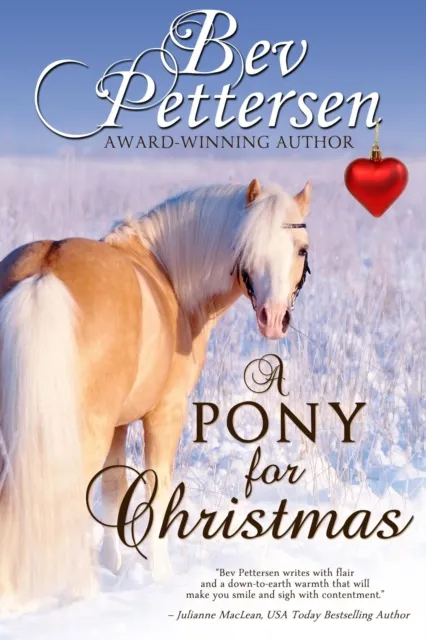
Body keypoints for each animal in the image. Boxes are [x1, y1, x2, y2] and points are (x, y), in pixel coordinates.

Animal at [0, 177, 311, 609]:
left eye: (301, 249)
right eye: (248, 247)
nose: (274, 318)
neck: (168, 277)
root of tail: (43, 275)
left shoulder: (119, 424)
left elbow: (113, 489)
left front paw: (113, 563)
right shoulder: (165, 413)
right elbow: (158, 489)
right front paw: (160, 573)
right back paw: (82, 592)